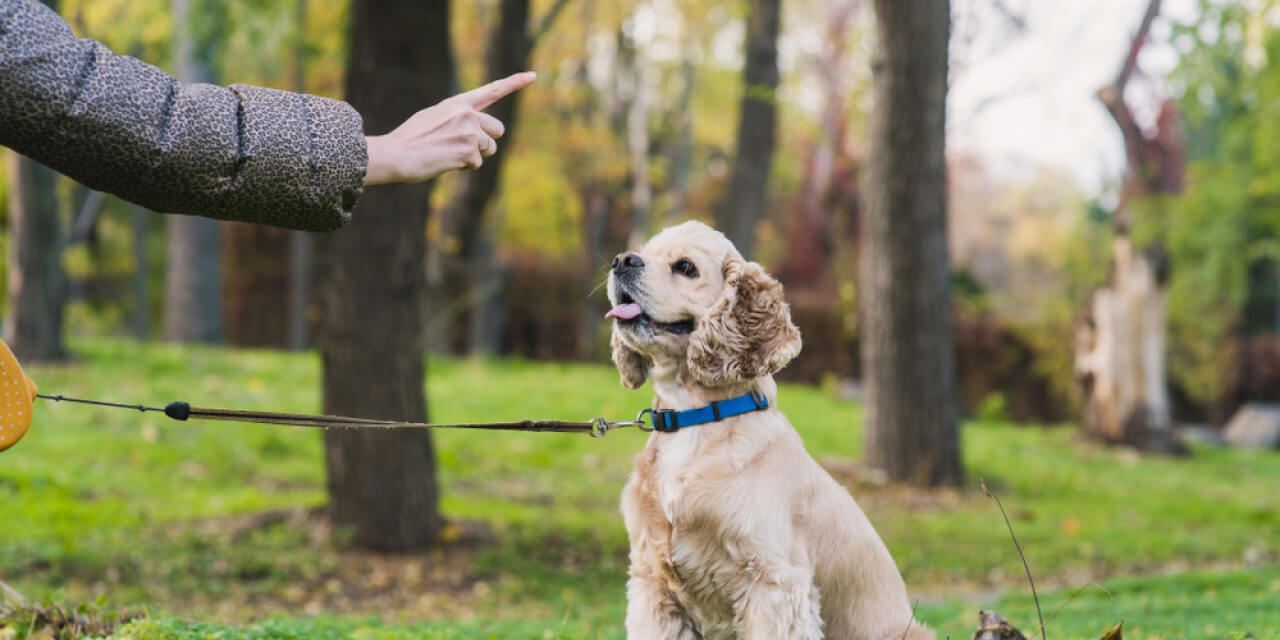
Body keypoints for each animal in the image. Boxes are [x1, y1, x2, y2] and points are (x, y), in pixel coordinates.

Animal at [606, 221, 931, 640]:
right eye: (644, 251)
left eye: (685, 267)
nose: (621, 260)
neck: (694, 420)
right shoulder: (652, 584)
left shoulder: (774, 583)